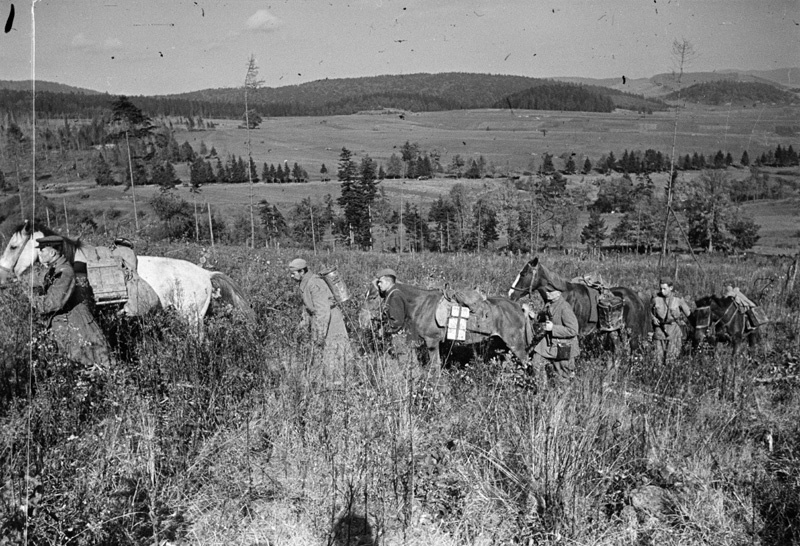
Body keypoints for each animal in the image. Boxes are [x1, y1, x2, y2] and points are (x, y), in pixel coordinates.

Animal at [358, 280, 532, 366]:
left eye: (373, 297)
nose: (361, 319)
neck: (421, 304)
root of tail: (518, 307)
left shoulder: (432, 341)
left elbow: (435, 366)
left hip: (515, 345)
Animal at [510, 258, 652, 350]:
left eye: (523, 274)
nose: (511, 294)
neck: (561, 295)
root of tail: (637, 297)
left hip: (633, 333)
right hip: (615, 332)